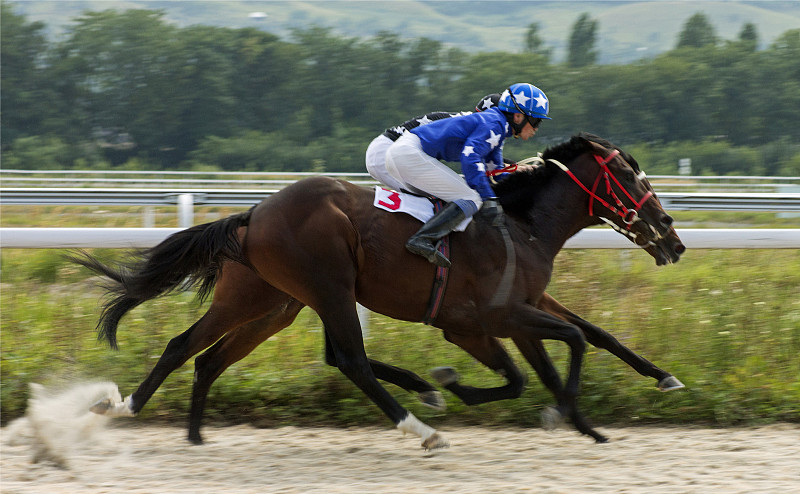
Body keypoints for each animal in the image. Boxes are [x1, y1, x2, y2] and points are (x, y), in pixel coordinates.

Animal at [75, 133, 684, 450]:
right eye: (634, 178)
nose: (672, 236)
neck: (519, 223)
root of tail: (253, 213)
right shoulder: (484, 319)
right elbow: (558, 352)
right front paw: (573, 416)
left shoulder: (521, 309)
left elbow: (589, 337)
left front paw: (653, 382)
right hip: (327, 287)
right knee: (349, 360)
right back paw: (421, 424)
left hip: (271, 301)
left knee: (195, 350)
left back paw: (165, 421)